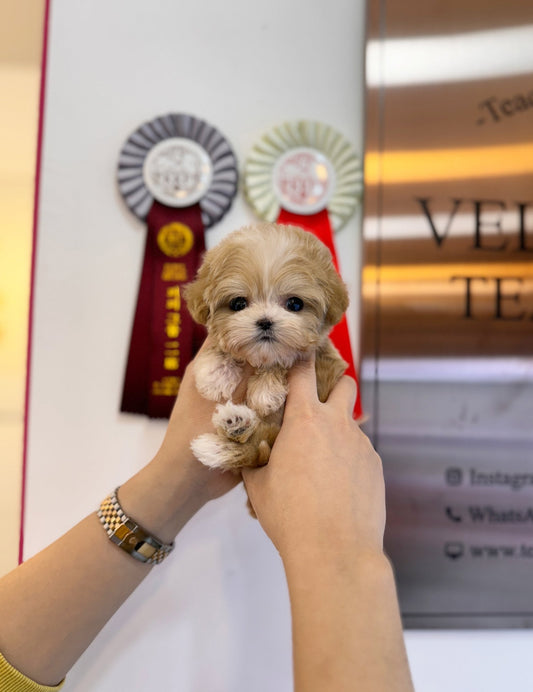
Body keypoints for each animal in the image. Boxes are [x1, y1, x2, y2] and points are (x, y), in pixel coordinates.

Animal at [183, 224, 350, 474]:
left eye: (295, 304)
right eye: (238, 303)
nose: (265, 321)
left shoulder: (324, 364)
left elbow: (285, 359)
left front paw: (266, 390)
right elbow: (219, 349)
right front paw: (216, 376)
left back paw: (235, 425)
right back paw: (235, 425)